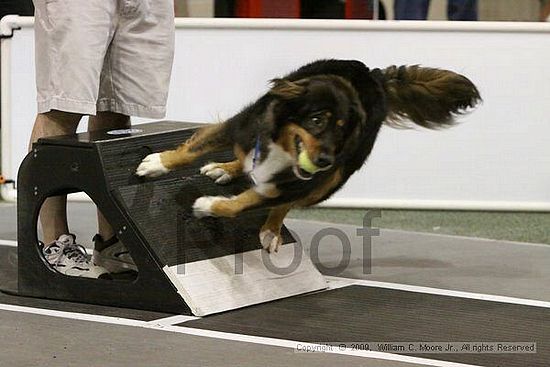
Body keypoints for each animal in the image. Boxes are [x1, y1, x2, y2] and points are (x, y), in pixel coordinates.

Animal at [136, 59, 480, 253]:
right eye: (316, 120)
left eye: (341, 131)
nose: (325, 160)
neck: (284, 147)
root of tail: (374, 76)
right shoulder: (241, 126)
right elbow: (192, 149)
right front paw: (158, 164)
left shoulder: (297, 183)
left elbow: (244, 203)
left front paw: (208, 206)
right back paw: (226, 168)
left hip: (330, 182)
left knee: (286, 203)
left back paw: (271, 231)